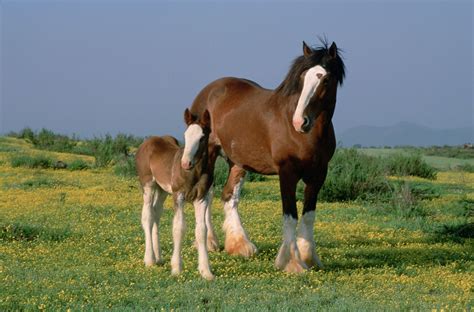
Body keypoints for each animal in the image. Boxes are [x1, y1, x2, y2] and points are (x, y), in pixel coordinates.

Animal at [190, 39, 348, 272]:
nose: (300, 121)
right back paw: (209, 242)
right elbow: (290, 215)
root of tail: (208, 91)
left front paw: (309, 257)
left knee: (228, 196)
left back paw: (240, 245)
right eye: (302, 78)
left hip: (237, 162)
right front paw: (292, 262)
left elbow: (308, 215)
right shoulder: (287, 172)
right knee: (203, 197)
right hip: (207, 154)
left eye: (325, 79)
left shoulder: (319, 174)